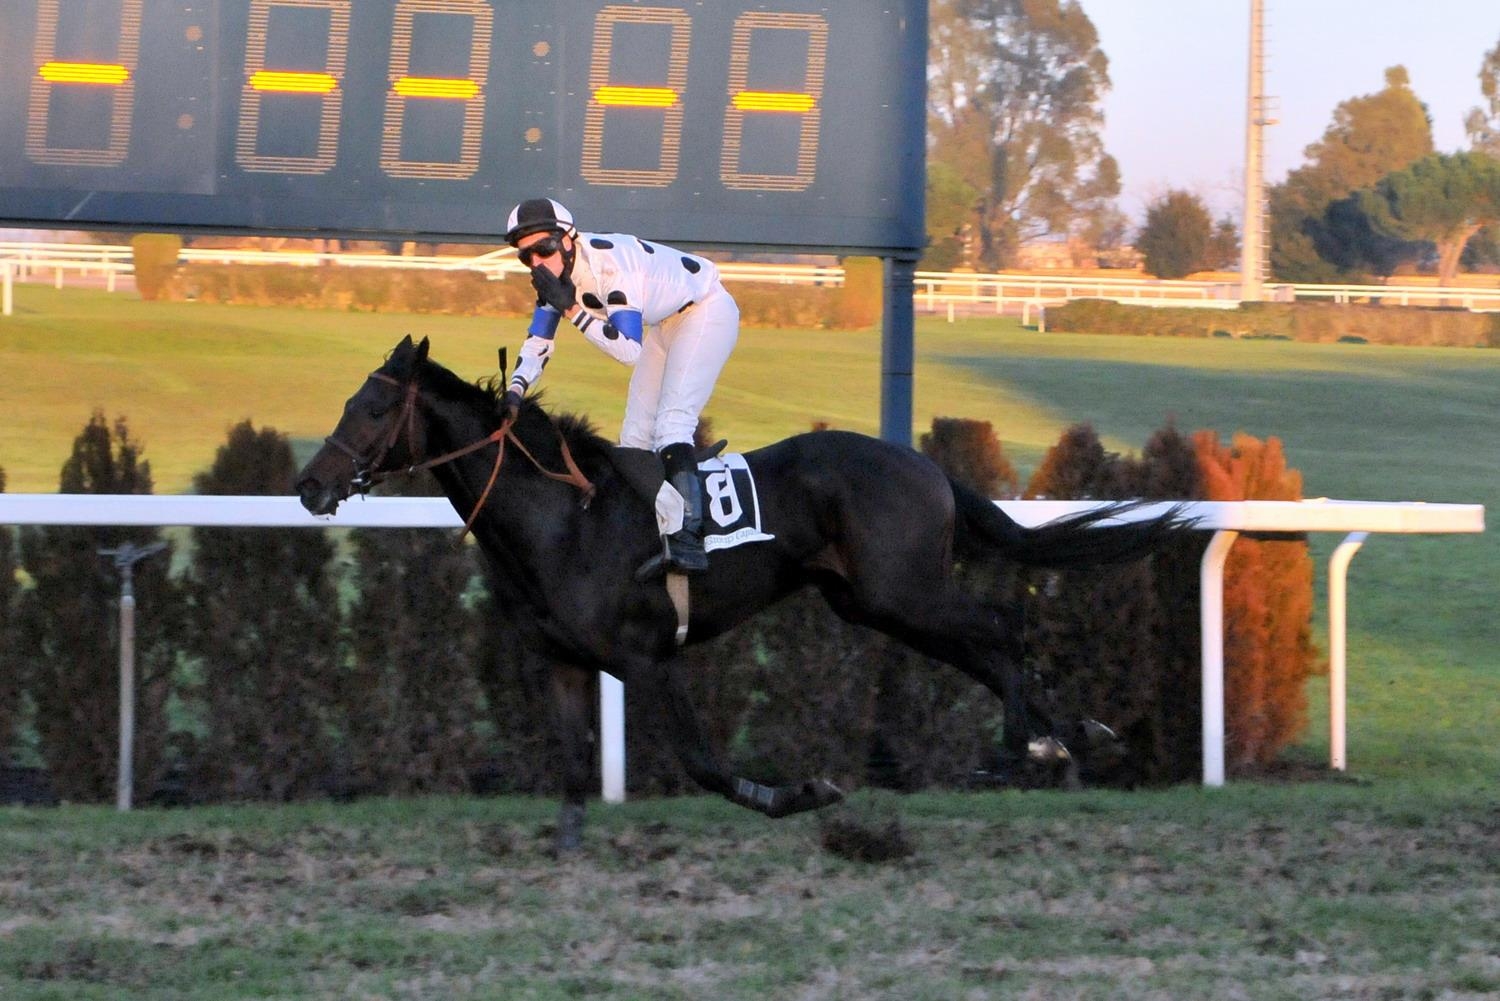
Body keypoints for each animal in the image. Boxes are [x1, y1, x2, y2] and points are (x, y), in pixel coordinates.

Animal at [298, 340, 1188, 852]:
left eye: (371, 406)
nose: (309, 485)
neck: (561, 518)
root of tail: (925, 465)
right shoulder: (561, 661)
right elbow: (575, 764)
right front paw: (565, 848)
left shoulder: (647, 659)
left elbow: (702, 763)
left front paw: (802, 792)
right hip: (874, 601)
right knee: (986, 649)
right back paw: (1061, 735)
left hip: (904, 590)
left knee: (1001, 624)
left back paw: (1020, 745)